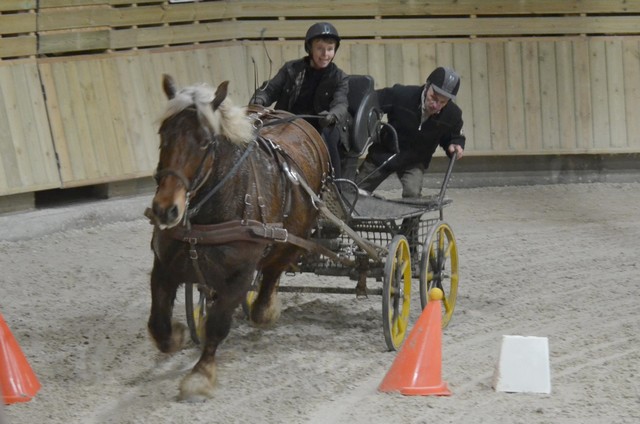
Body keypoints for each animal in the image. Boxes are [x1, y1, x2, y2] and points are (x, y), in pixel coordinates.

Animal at [146, 74, 330, 402]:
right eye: (163, 134)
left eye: (205, 142)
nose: (166, 209)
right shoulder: (164, 265)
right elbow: (159, 324)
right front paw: (179, 334)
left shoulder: (239, 275)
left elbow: (218, 324)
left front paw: (201, 375)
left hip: (293, 237)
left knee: (272, 273)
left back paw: (265, 309)